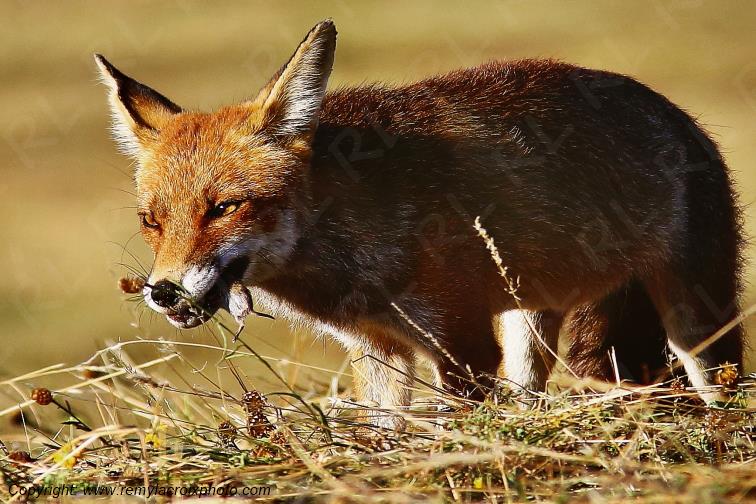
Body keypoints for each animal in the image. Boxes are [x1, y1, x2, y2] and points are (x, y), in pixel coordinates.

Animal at [96, 20, 744, 428]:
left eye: (224, 208)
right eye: (151, 222)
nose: (162, 290)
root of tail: (681, 116)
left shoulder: (461, 342)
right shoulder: (378, 350)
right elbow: (389, 435)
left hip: (696, 323)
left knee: (720, 386)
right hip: (527, 324)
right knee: (529, 397)